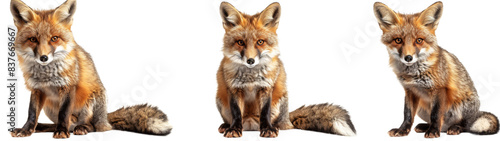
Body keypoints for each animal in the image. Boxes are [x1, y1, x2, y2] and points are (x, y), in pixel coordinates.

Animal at [10, 0, 172, 139]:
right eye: (33, 39)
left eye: (54, 38)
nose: (43, 57)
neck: (45, 75)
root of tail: (105, 118)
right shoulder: (36, 89)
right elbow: (32, 113)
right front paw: (26, 130)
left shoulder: (68, 86)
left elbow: (64, 113)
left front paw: (61, 132)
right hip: (49, 107)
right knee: (63, 124)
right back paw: (43, 127)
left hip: (90, 103)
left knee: (91, 126)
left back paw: (81, 128)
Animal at [215, 1, 356, 138]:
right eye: (240, 42)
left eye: (260, 42)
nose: (250, 61)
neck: (251, 77)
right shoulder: (233, 88)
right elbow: (236, 112)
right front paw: (234, 129)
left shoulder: (266, 87)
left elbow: (265, 112)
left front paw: (268, 129)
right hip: (220, 100)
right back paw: (226, 126)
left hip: (281, 99)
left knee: (281, 124)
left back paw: (274, 127)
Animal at [374, 0, 498, 138]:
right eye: (398, 40)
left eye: (419, 40)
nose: (408, 57)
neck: (414, 74)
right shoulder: (410, 91)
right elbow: (407, 114)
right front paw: (402, 130)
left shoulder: (439, 89)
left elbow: (436, 114)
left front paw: (433, 131)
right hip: (421, 109)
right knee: (440, 124)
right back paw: (425, 127)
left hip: (462, 107)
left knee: (465, 125)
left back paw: (455, 128)